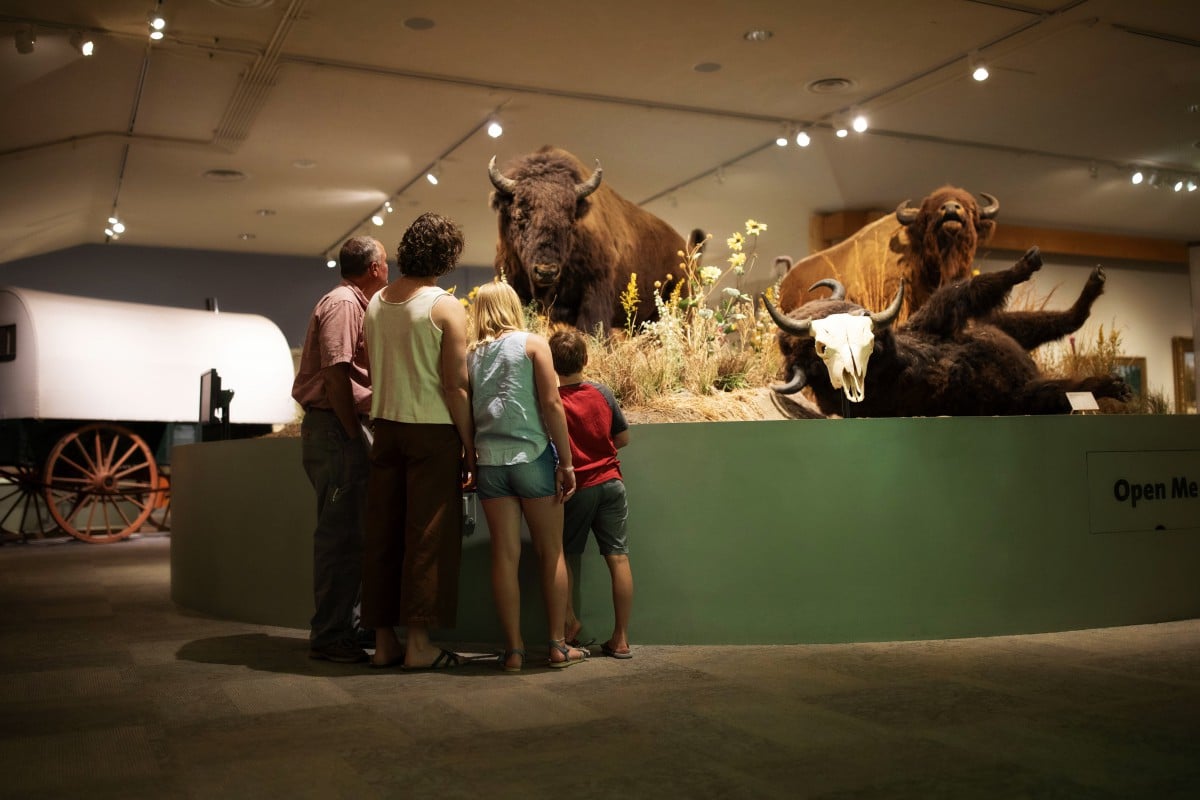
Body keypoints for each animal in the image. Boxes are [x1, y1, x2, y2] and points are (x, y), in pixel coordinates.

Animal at [763, 245, 1128, 419]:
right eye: (819, 345)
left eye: (841, 308)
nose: (867, 319)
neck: (903, 361)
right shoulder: (1008, 397)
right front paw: (1112, 385)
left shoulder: (933, 322)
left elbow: (968, 289)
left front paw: (1028, 262)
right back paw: (1114, 385)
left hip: (1005, 326)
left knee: (1064, 320)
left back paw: (1095, 282)